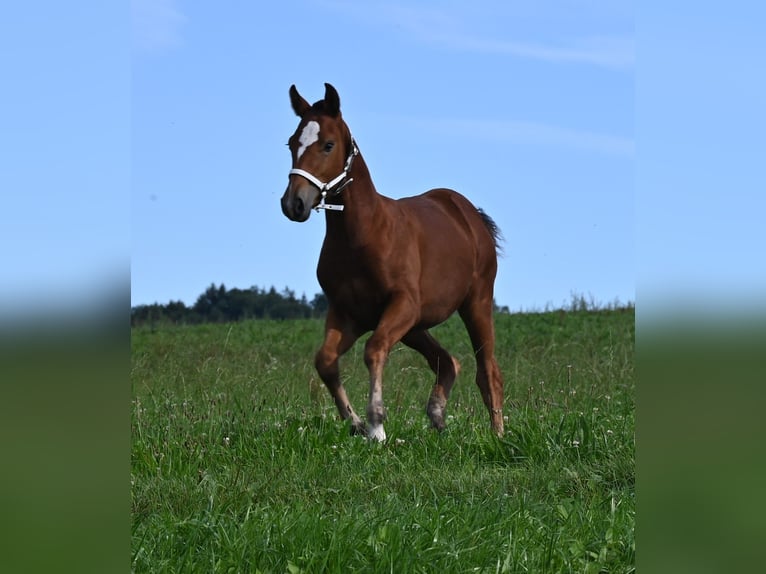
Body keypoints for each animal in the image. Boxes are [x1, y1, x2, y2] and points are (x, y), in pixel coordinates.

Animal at [281, 83, 505, 440]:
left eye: (328, 144)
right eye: (292, 143)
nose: (294, 203)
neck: (362, 235)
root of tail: (469, 214)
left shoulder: (402, 304)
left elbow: (373, 350)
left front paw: (376, 425)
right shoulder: (348, 313)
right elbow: (325, 360)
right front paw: (356, 422)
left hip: (474, 302)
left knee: (488, 371)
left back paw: (498, 435)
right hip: (415, 326)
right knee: (447, 361)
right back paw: (437, 416)